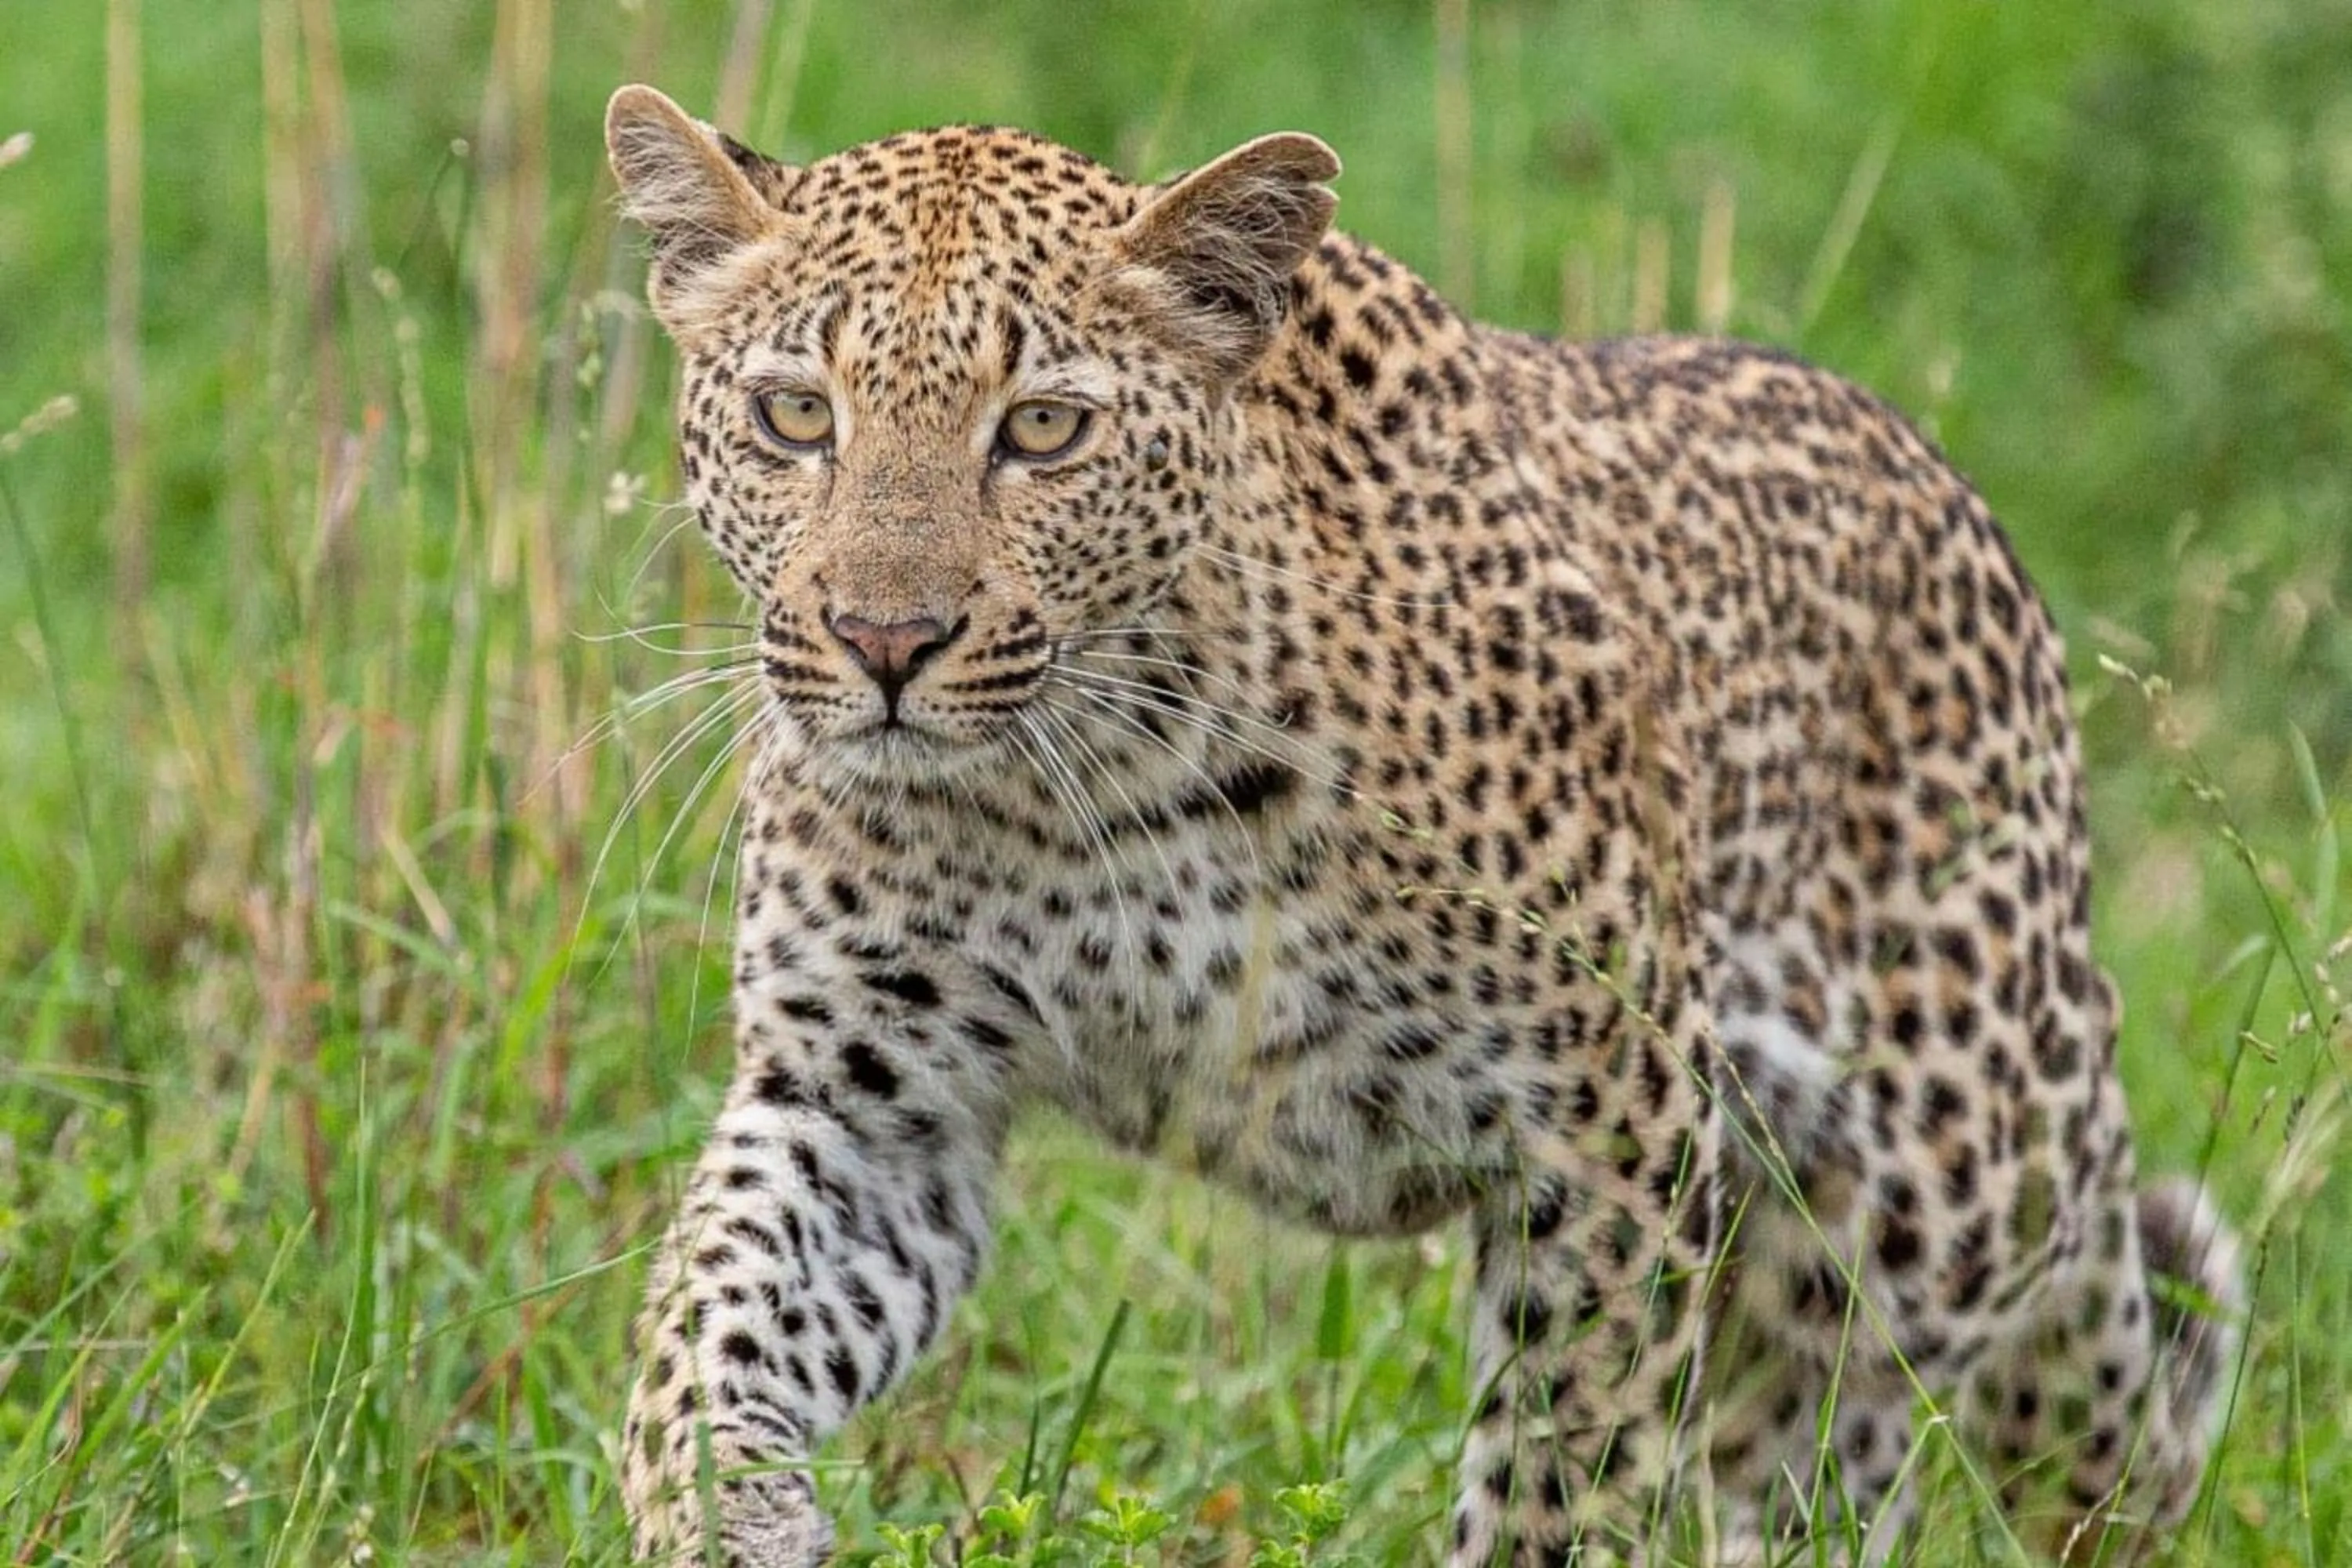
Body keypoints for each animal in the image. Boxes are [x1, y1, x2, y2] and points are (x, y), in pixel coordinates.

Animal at [601, 82, 2245, 1566]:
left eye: (1046, 430)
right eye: (795, 416)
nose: (885, 642)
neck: (1089, 794)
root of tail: (1956, 498)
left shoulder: (1609, 1114)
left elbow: (1572, 1465)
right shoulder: (871, 1106)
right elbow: (704, 1331)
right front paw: (724, 1516)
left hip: (1953, 1170)